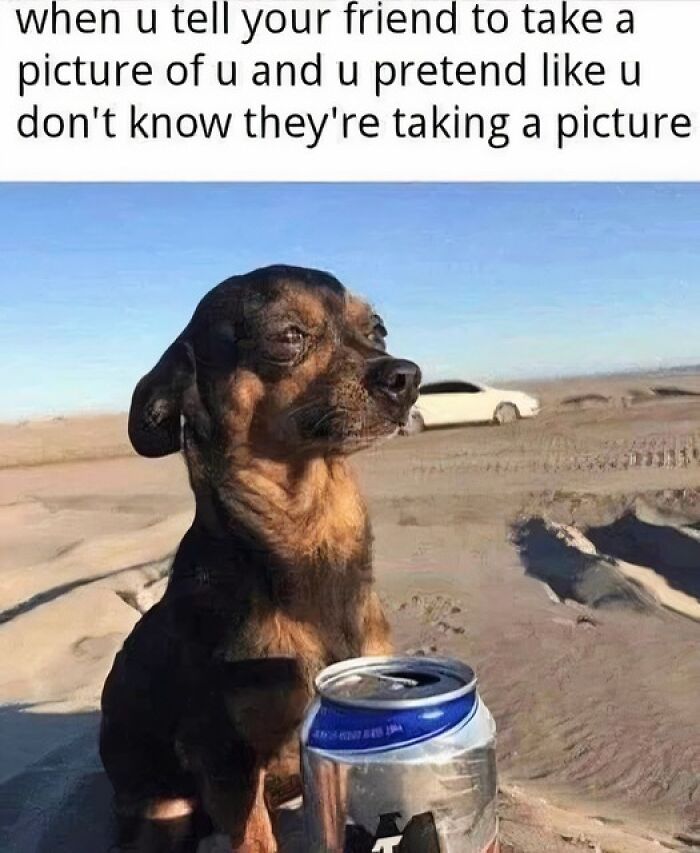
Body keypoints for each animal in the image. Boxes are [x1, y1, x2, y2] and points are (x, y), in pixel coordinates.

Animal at [101, 262, 422, 848]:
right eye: (288, 336)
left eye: (378, 329)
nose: (407, 377)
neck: (304, 544)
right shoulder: (223, 755)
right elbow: (255, 839)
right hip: (166, 807)